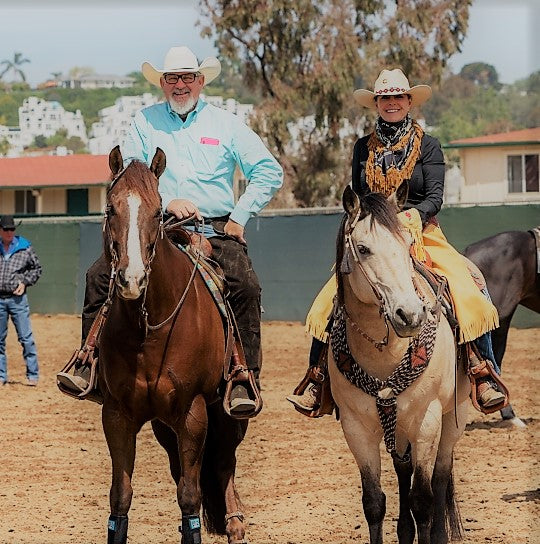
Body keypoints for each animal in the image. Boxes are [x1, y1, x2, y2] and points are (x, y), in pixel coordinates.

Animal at [98, 146, 249, 544]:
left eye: (156, 211)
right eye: (110, 209)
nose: (132, 279)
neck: (149, 331)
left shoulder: (193, 413)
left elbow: (190, 496)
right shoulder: (116, 414)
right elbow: (121, 497)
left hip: (224, 412)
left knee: (224, 462)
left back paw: (236, 523)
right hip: (163, 426)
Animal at [326, 184, 470, 544]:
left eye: (406, 245)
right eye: (363, 248)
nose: (410, 314)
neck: (385, 353)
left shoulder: (427, 420)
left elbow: (423, 500)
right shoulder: (356, 428)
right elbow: (374, 502)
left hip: (452, 418)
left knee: (440, 479)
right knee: (403, 473)